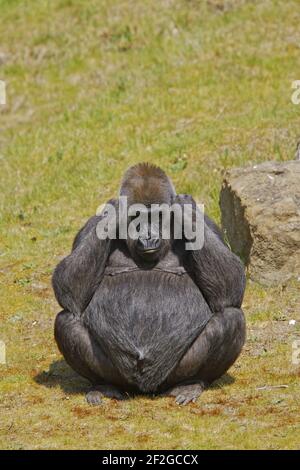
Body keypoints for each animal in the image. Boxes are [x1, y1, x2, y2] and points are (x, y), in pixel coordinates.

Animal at [52, 162, 246, 404]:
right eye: (136, 216)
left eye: (158, 215)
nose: (147, 237)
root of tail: (146, 389)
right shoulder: (90, 225)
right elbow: (68, 286)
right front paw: (115, 210)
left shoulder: (207, 223)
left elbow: (231, 285)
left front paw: (183, 207)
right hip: (123, 378)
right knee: (66, 320)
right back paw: (103, 385)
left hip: (171, 375)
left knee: (231, 316)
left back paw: (191, 383)